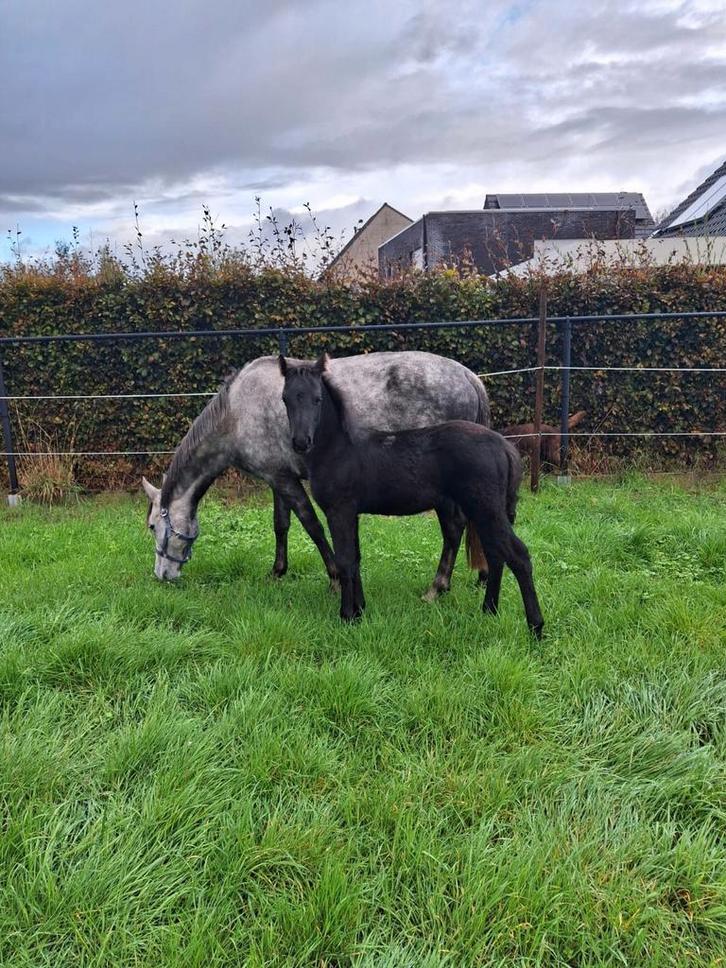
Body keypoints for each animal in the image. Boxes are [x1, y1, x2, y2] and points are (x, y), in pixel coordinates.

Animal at [142, 351, 490, 596]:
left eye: (152, 526)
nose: (161, 575)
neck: (238, 413)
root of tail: (468, 376)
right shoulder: (277, 477)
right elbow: (281, 525)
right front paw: (277, 571)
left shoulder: (285, 480)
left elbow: (312, 526)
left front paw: (335, 578)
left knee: (456, 527)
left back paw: (439, 586)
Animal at [279, 353, 544, 638]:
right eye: (285, 398)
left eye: (317, 399)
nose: (301, 442)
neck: (339, 449)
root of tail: (504, 447)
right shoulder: (352, 513)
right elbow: (356, 558)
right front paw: (360, 610)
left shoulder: (339, 511)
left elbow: (346, 561)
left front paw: (347, 616)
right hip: (485, 510)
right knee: (495, 553)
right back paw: (489, 610)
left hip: (486, 508)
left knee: (518, 555)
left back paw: (536, 627)